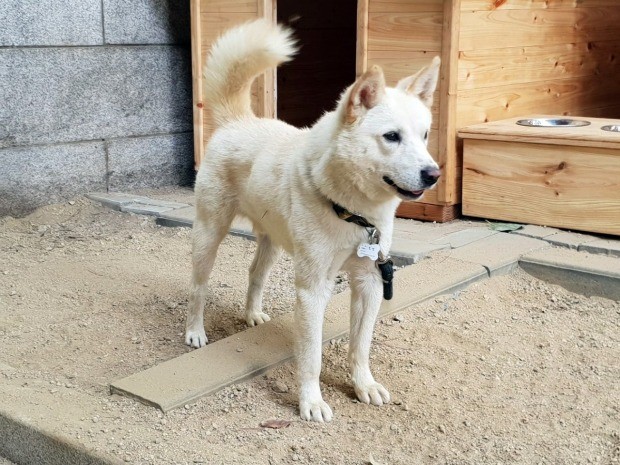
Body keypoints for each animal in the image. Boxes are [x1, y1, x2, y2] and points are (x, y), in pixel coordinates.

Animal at [184, 20, 440, 422]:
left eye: (425, 135)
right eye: (391, 137)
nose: (434, 174)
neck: (353, 213)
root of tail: (238, 121)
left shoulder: (369, 281)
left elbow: (360, 346)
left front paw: (364, 385)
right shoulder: (312, 289)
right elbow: (311, 356)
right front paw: (312, 401)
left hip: (272, 241)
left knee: (254, 274)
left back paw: (252, 314)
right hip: (209, 234)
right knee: (198, 287)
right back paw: (195, 332)